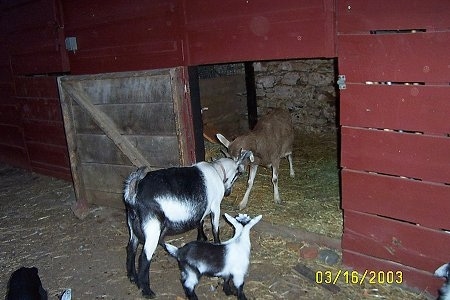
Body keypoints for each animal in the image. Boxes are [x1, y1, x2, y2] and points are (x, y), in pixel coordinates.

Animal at [124, 150, 253, 298]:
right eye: (238, 173)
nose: (228, 192)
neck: (216, 170)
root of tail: (134, 192)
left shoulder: (203, 207)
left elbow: (200, 221)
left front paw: (202, 238)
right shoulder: (215, 206)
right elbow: (215, 228)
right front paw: (217, 243)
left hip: (133, 225)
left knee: (131, 248)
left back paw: (132, 277)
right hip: (152, 227)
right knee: (144, 258)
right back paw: (147, 291)